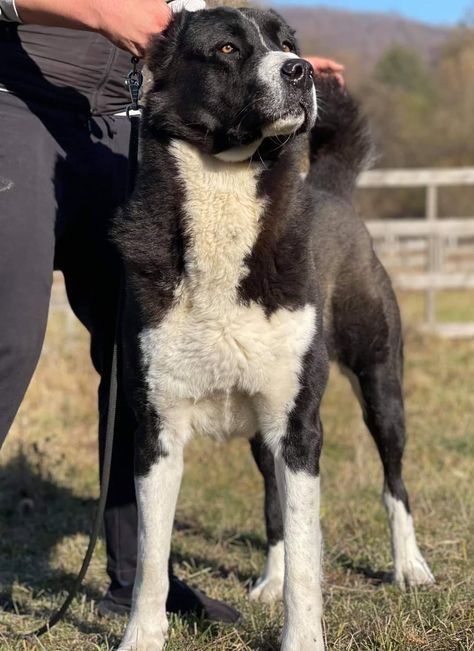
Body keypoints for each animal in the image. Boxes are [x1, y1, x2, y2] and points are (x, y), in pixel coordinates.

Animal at [114, 6, 434, 651]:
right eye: (227, 48)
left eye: (287, 42)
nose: (302, 69)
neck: (226, 186)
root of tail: (331, 189)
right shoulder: (156, 429)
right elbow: (153, 559)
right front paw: (142, 637)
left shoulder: (300, 427)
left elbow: (310, 559)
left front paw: (304, 637)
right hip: (264, 431)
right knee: (274, 504)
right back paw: (270, 579)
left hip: (380, 384)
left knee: (393, 479)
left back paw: (409, 566)